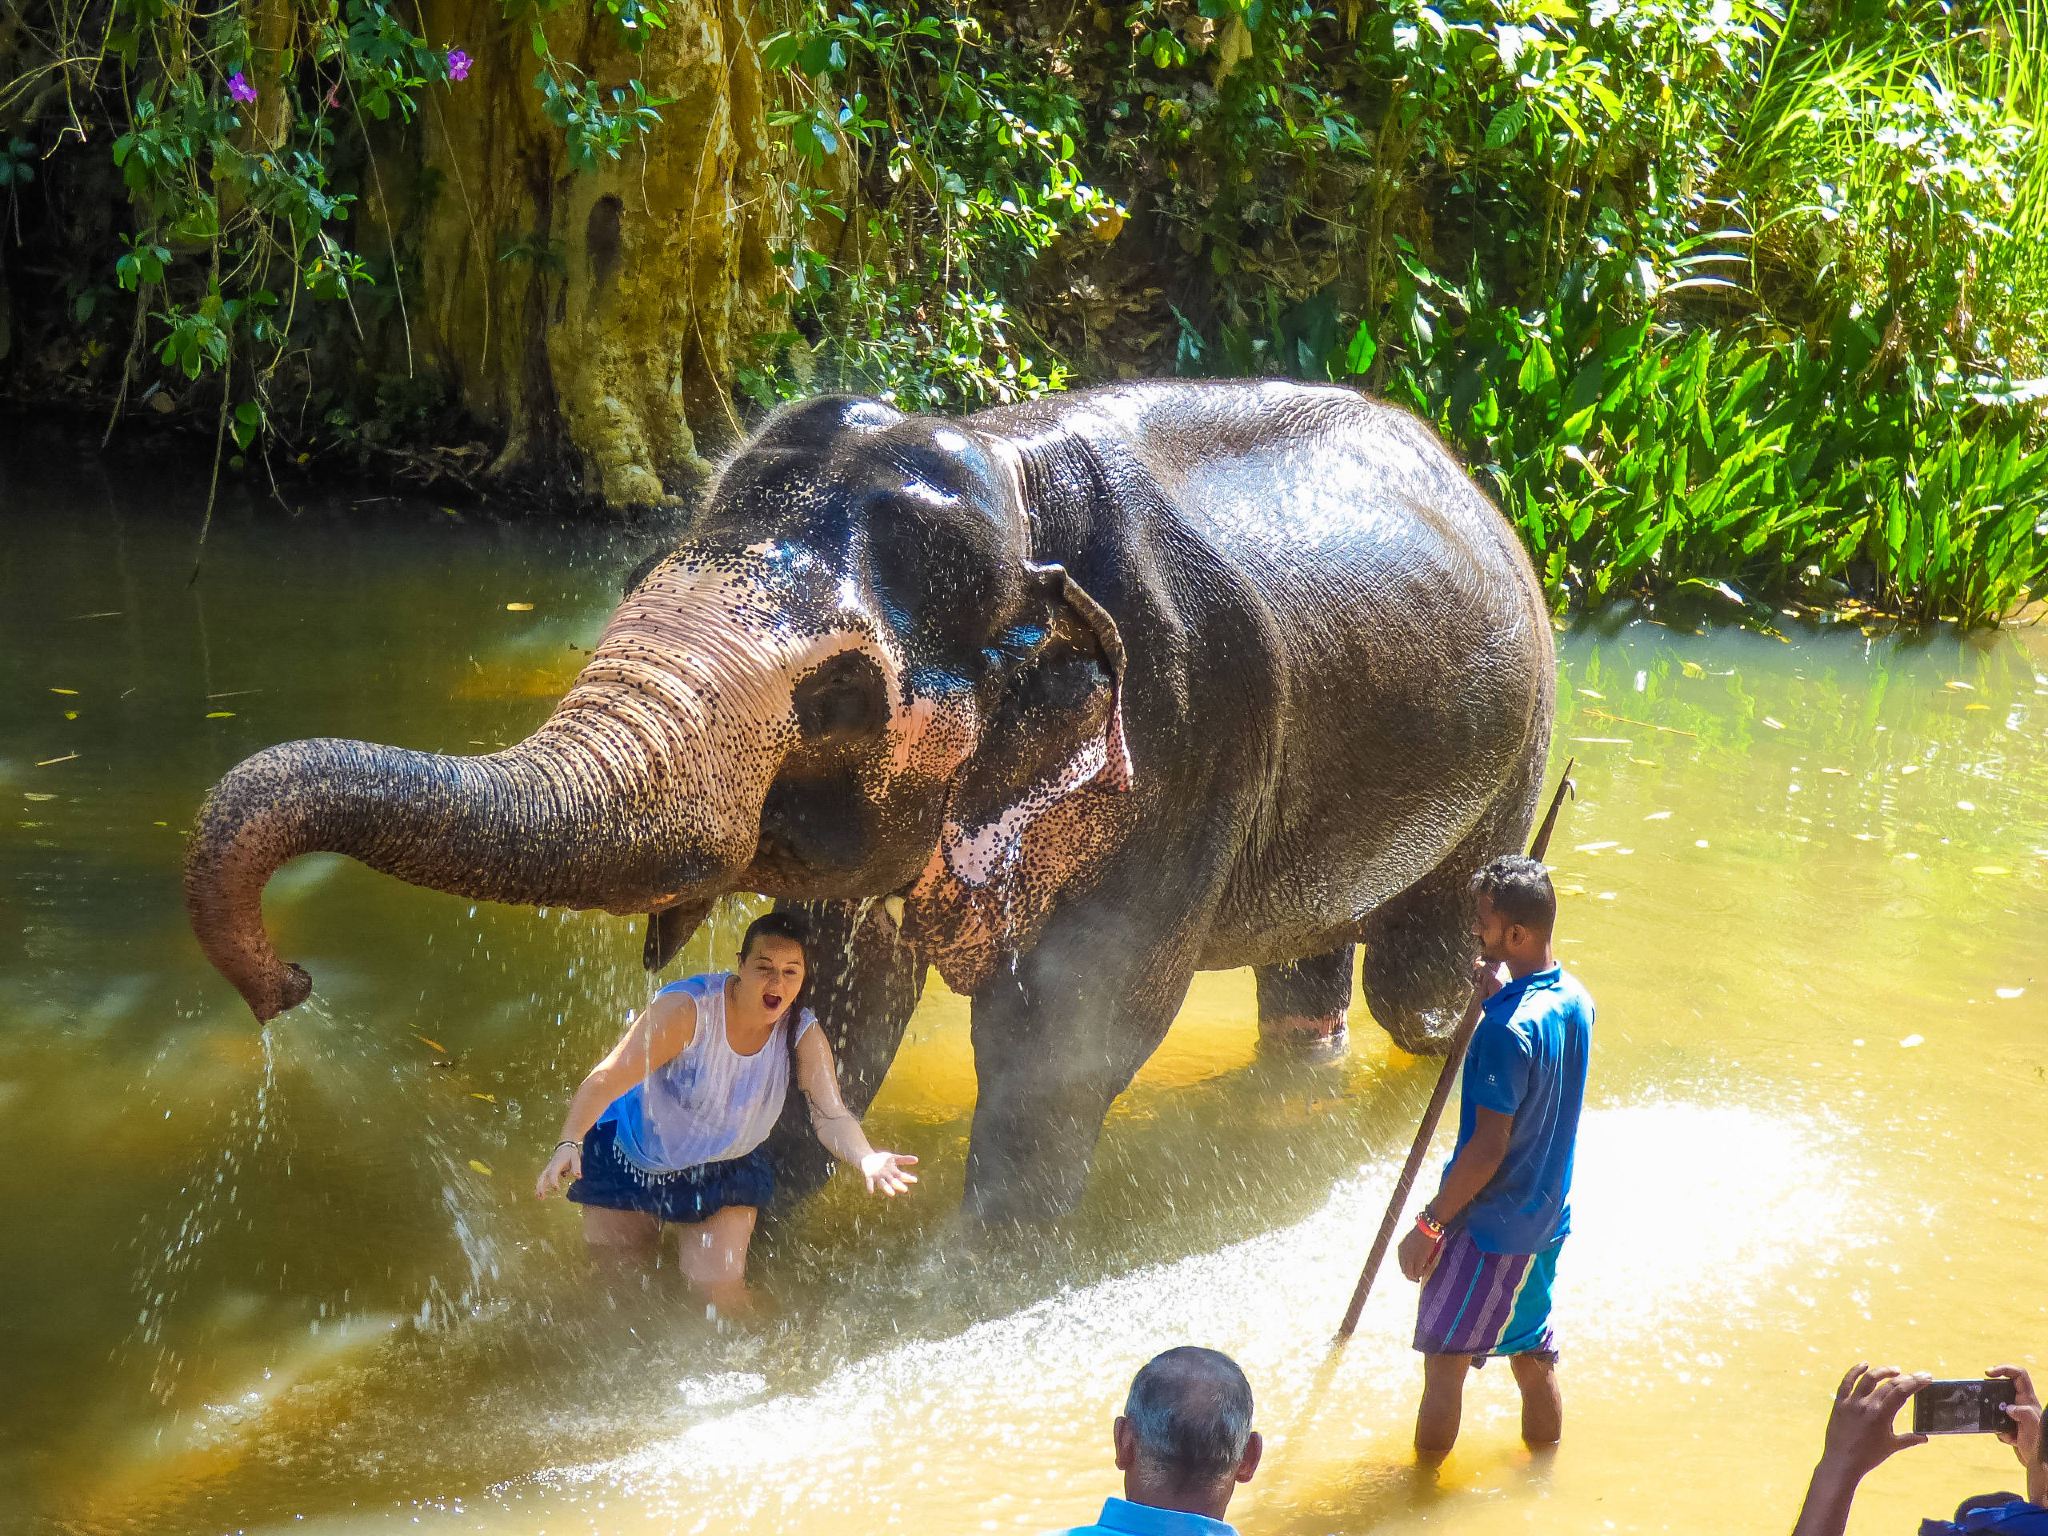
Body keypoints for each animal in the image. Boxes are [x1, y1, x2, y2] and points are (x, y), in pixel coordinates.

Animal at [185, 378, 1554, 1222]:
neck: (1012, 469)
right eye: (634, 581)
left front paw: (962, 1279)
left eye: (840, 693)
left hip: (1515, 740)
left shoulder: (1184, 742)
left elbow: (1065, 1036)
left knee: (1414, 988)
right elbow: (838, 1003)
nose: (286, 984)